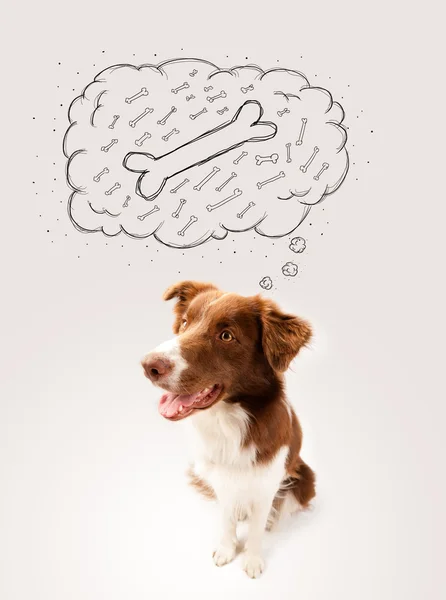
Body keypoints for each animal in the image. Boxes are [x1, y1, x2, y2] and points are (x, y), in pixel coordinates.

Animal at [141, 282, 316, 576]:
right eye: (185, 322)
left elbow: (256, 527)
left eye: (226, 336)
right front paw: (225, 550)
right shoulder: (220, 480)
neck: (228, 421)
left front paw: (252, 559)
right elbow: (226, 520)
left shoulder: (267, 481)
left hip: (305, 479)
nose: (148, 366)